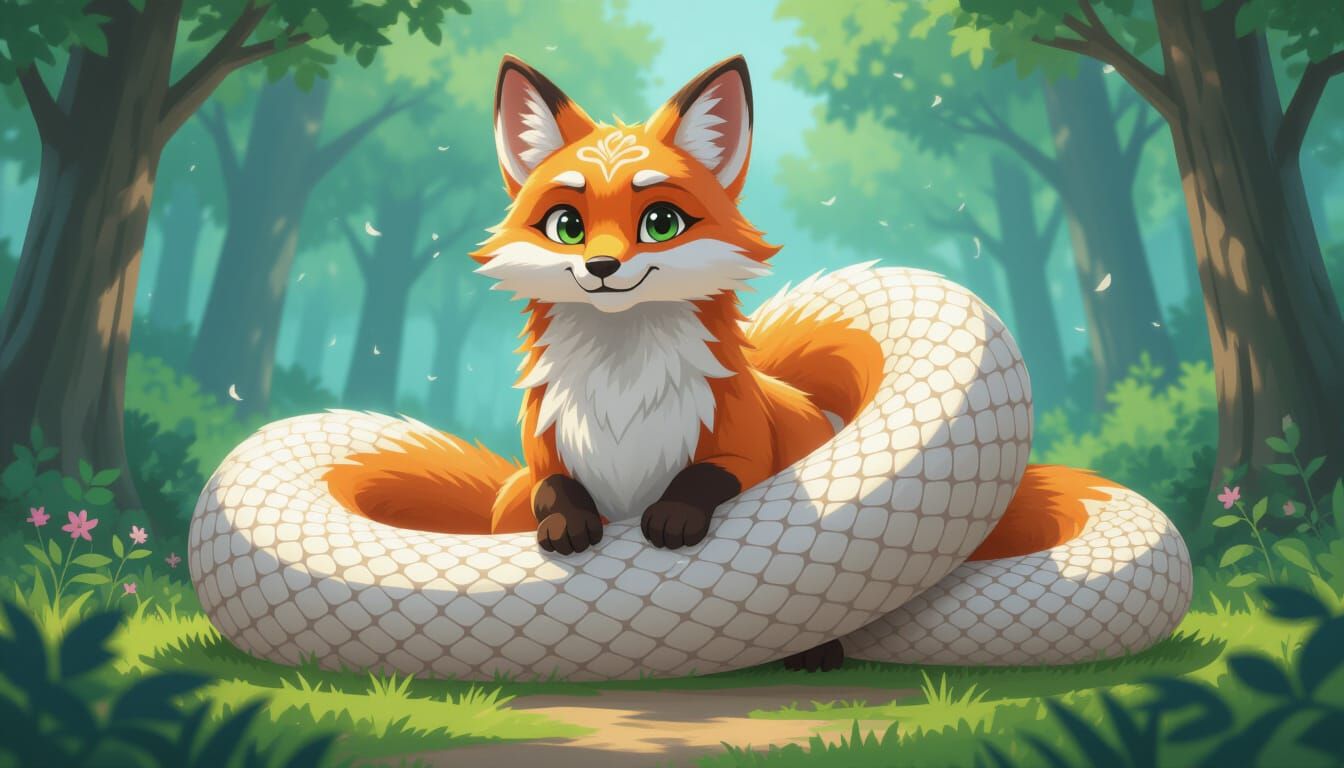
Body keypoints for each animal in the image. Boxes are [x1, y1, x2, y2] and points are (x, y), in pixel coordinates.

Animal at [325, 55, 1106, 672]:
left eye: (660, 222)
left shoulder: (743, 447)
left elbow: (708, 476)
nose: (602, 267)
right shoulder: (544, 455)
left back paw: (817, 653)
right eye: (567, 226)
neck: (623, 391)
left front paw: (672, 519)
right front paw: (569, 525)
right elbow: (554, 489)